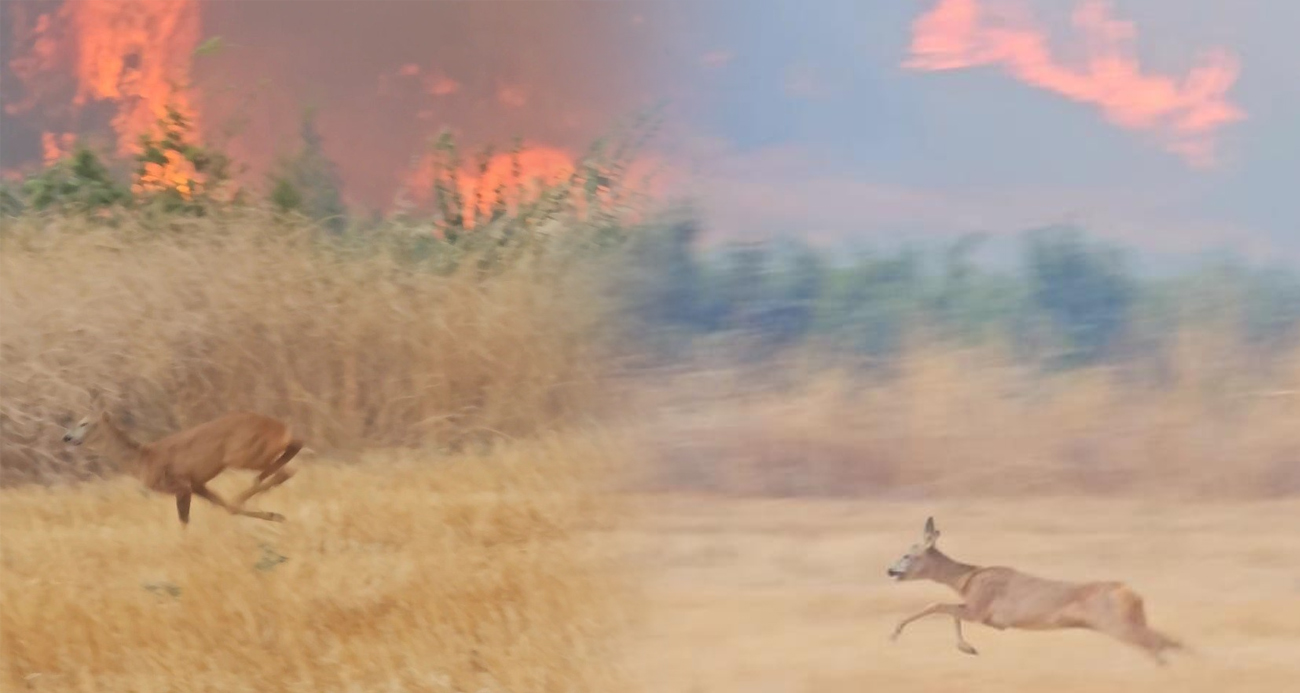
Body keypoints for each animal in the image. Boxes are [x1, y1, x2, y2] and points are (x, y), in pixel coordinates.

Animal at [63, 408, 304, 527]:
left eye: (85, 423)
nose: (67, 437)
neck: (142, 460)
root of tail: (279, 427)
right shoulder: (197, 484)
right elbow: (224, 506)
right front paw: (275, 516)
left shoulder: (180, 484)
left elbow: (184, 521)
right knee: (291, 454)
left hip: (242, 455)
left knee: (285, 469)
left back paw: (242, 495)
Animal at [889, 514, 1185, 663]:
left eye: (908, 555)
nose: (890, 571)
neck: (967, 579)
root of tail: (1131, 593)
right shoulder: (979, 612)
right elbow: (949, 612)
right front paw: (968, 648)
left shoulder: (981, 611)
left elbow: (938, 605)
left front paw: (894, 633)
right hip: (1127, 621)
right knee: (1169, 642)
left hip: (1116, 624)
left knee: (1159, 645)